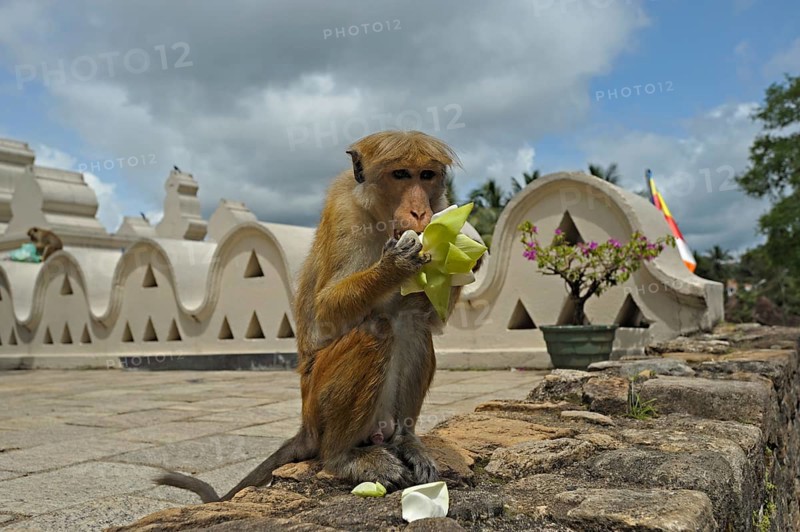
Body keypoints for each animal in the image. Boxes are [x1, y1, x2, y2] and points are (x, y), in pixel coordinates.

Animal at [155, 130, 476, 503]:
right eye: (400, 175)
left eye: (426, 175)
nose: (420, 210)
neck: (377, 216)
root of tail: (306, 426)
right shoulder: (345, 215)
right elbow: (325, 311)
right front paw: (395, 265)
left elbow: (431, 317)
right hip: (317, 402)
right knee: (376, 329)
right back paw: (342, 455)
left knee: (413, 327)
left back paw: (405, 441)